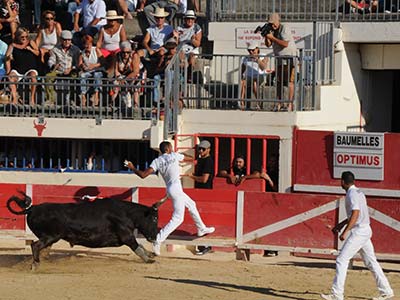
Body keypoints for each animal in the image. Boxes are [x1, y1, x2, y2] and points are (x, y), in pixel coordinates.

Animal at [7, 192, 167, 270]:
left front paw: (151, 254)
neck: (126, 213)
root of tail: (31, 208)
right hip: (51, 236)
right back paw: (35, 265)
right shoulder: (127, 237)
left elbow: (141, 246)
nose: (154, 237)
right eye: (154, 218)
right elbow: (137, 247)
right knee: (35, 245)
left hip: (50, 238)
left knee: (40, 248)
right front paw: (149, 260)